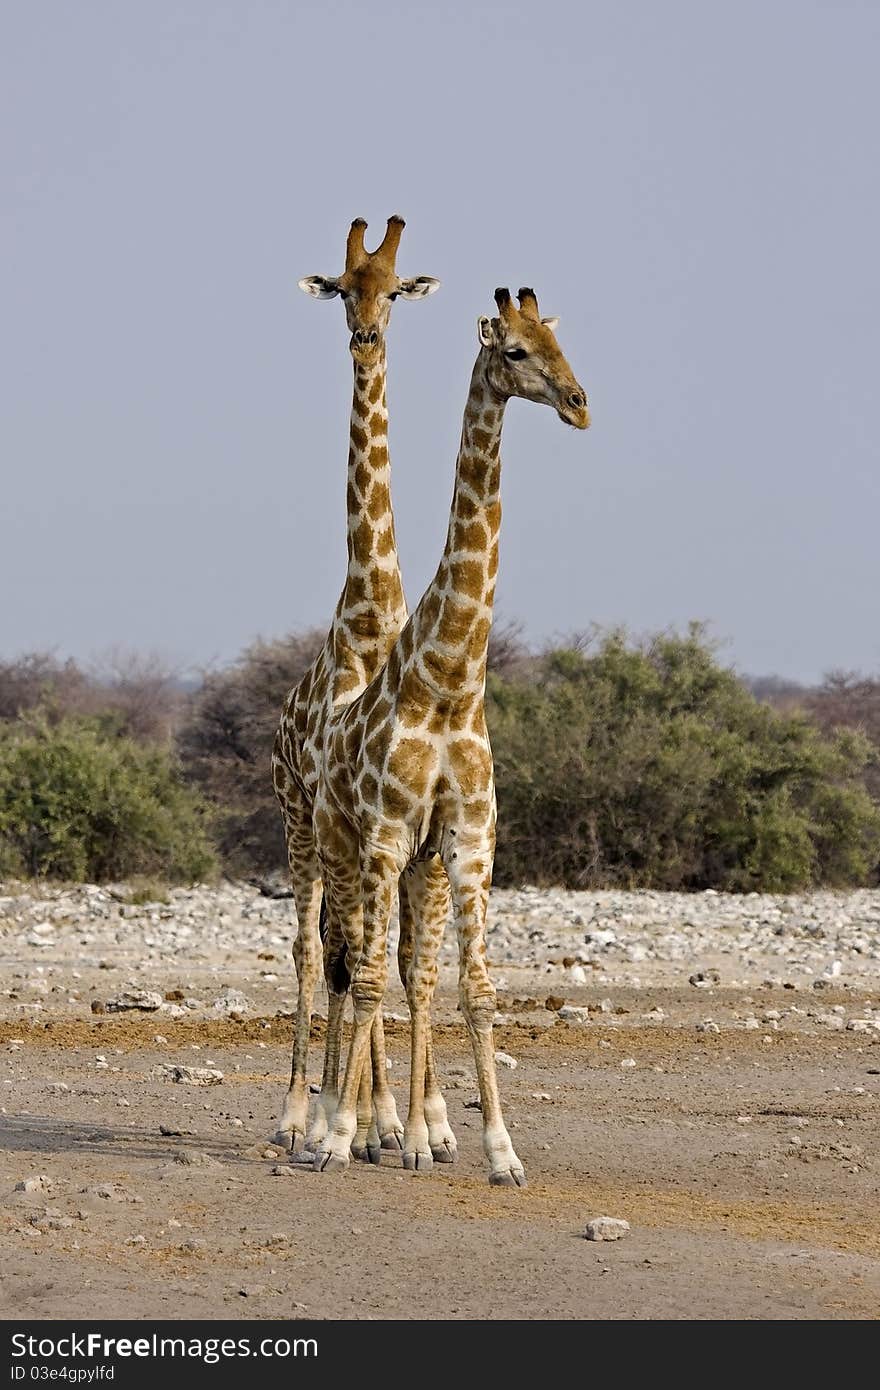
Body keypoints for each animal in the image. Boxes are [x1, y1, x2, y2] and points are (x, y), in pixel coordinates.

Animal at [310, 284, 589, 1184]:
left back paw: (404, 1132)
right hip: (338, 850)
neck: (450, 682)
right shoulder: (388, 834)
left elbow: (477, 988)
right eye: (515, 352)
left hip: (412, 865)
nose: (580, 405)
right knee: (341, 967)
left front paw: (501, 1152)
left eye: (562, 344)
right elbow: (368, 983)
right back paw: (327, 1125)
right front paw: (341, 1137)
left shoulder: (468, 840)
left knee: (400, 972)